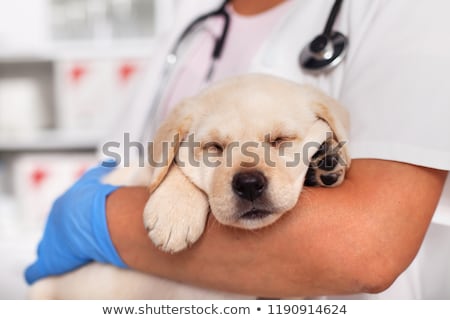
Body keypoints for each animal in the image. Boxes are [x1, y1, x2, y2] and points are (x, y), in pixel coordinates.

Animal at [29, 74, 352, 298]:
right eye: (214, 147)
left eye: (281, 140)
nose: (249, 184)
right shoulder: (140, 173)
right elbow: (172, 166)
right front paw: (173, 215)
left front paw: (326, 157)